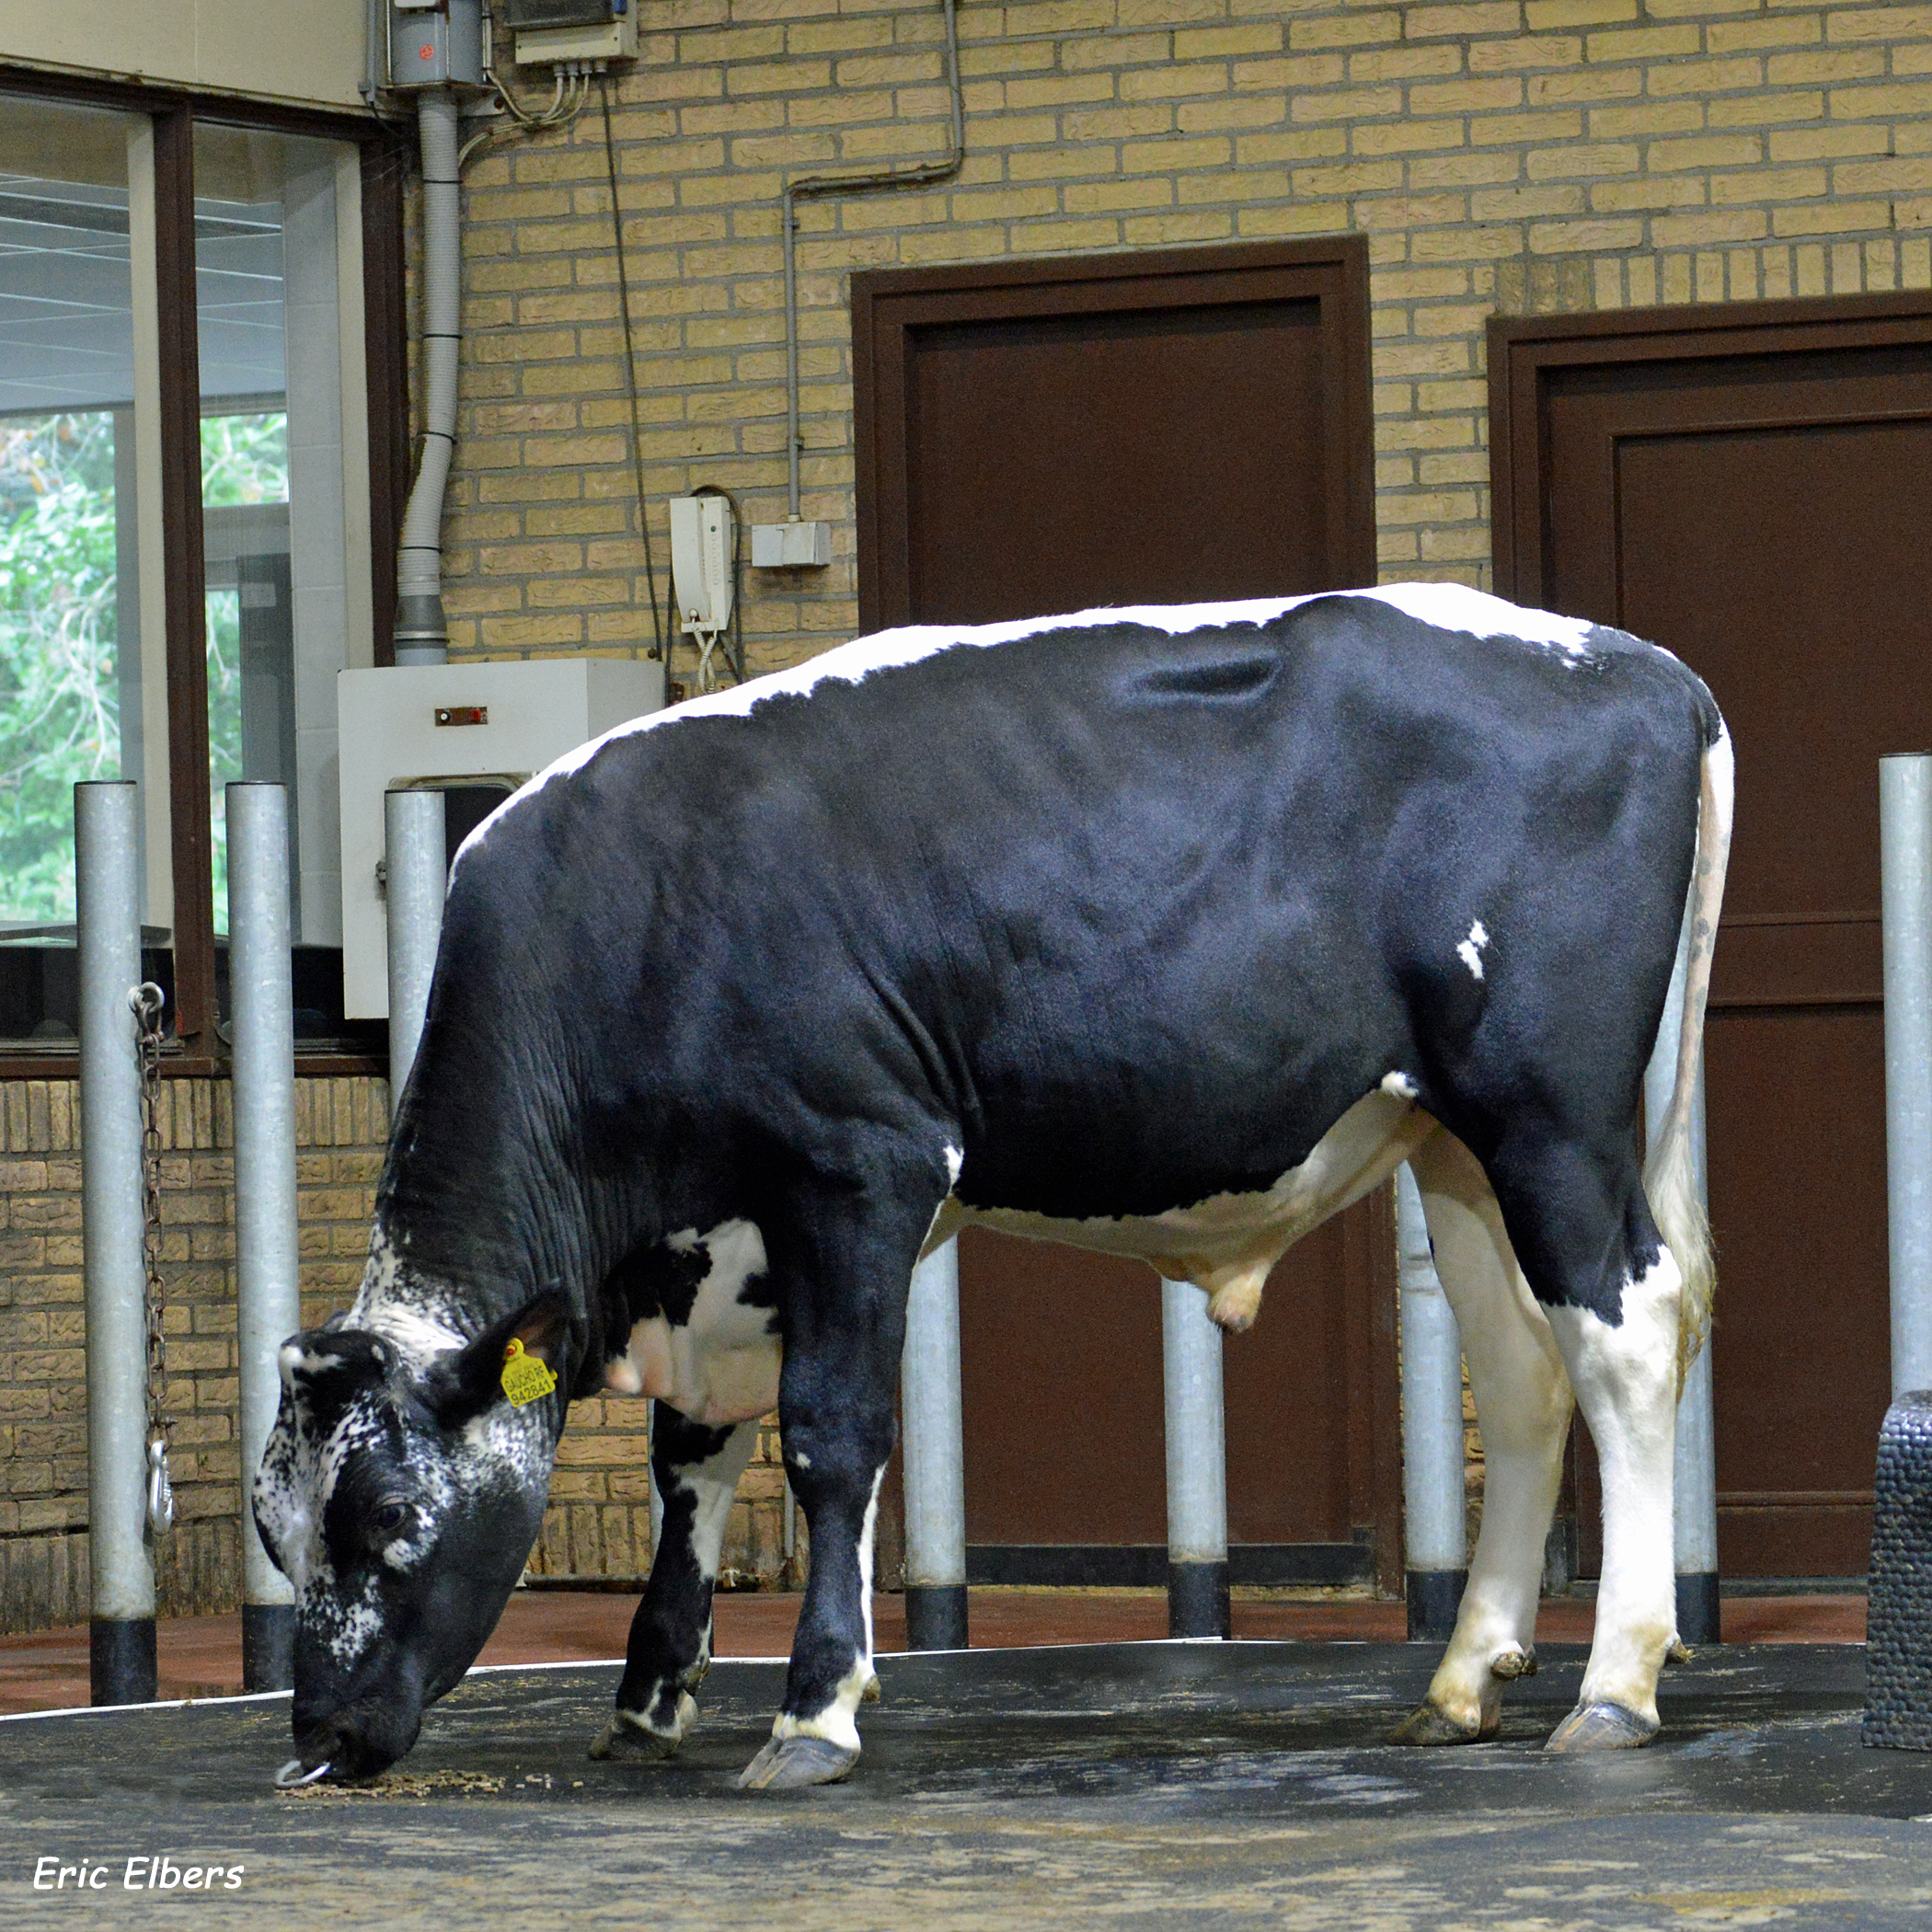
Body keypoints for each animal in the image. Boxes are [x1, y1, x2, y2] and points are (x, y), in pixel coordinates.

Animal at [253, 583, 1738, 1792]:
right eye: (277, 1533)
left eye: (392, 1520)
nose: (320, 1740)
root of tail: (1646, 661)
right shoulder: (713, 1236)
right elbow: (693, 1457)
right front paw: (651, 1693)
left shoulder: (860, 1162)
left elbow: (831, 1435)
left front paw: (815, 1710)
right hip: (1453, 1143)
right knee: (1527, 1372)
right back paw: (1464, 1676)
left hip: (1552, 1118)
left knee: (1625, 1339)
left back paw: (1616, 1686)